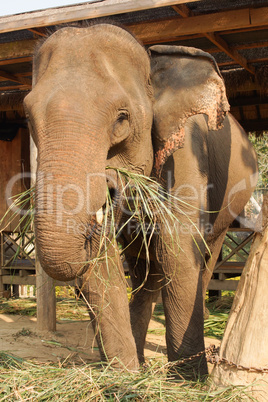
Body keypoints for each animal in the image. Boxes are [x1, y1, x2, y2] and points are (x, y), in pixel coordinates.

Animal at [24, 23, 258, 378]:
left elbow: (176, 249)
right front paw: (124, 374)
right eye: (28, 115)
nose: (108, 187)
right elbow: (105, 264)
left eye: (122, 119)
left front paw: (186, 380)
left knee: (203, 257)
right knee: (143, 270)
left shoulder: (187, 152)